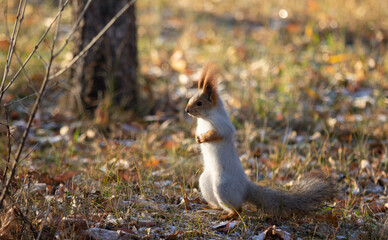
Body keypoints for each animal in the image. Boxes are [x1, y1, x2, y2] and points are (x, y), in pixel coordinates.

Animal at [184, 63, 334, 219]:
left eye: (199, 103)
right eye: (191, 99)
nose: (187, 110)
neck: (205, 118)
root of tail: (245, 187)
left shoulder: (223, 126)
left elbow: (218, 134)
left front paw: (204, 138)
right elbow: (197, 132)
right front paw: (197, 138)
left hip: (222, 186)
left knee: (238, 208)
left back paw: (229, 214)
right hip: (205, 183)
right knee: (218, 202)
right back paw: (211, 206)